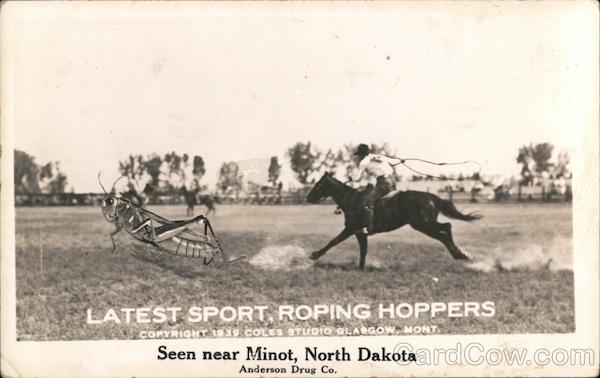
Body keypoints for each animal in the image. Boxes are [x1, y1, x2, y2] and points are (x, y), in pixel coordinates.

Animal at [308, 173, 480, 270]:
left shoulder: (351, 228)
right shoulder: (359, 233)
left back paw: (459, 254)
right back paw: (461, 254)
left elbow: (334, 241)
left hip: (423, 224)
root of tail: (430, 196)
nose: (308, 197)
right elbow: (363, 251)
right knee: (447, 228)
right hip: (425, 223)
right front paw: (361, 268)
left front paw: (315, 255)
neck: (352, 200)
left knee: (444, 232)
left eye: (319, 185)